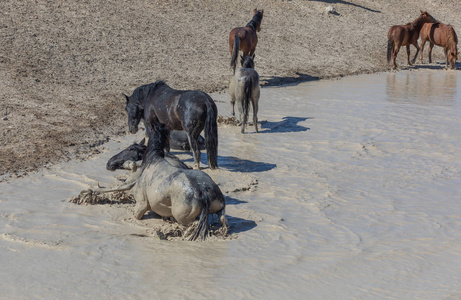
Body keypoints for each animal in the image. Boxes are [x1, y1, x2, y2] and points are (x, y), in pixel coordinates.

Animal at [98, 123, 226, 240]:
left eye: (130, 148)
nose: (109, 163)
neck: (152, 159)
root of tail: (203, 191)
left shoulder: (141, 205)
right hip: (219, 209)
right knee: (223, 221)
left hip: (183, 218)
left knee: (192, 225)